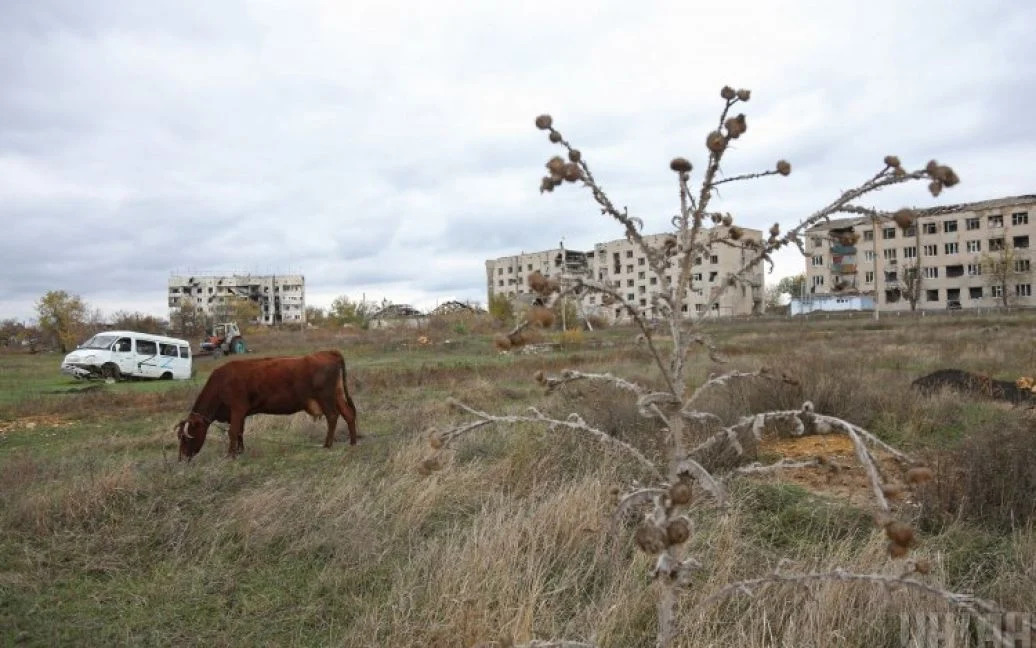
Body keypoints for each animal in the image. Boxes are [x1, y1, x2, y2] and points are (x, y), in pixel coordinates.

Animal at [176, 348, 358, 460]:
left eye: (186, 437)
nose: (183, 458)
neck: (220, 383)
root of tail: (327, 352)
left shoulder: (237, 409)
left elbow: (233, 432)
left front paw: (230, 455)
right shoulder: (241, 413)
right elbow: (240, 431)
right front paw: (240, 451)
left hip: (326, 397)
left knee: (332, 416)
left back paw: (327, 445)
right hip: (337, 395)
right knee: (348, 415)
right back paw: (353, 442)